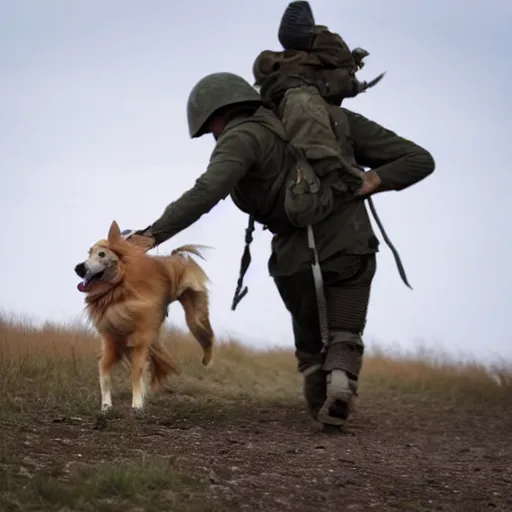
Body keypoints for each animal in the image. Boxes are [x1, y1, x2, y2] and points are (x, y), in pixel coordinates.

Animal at [74, 220, 214, 412]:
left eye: (102, 254)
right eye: (89, 253)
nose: (79, 268)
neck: (118, 293)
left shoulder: (141, 337)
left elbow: (137, 371)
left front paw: (137, 404)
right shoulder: (111, 340)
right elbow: (104, 369)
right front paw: (106, 404)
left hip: (193, 316)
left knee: (202, 331)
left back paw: (207, 356)